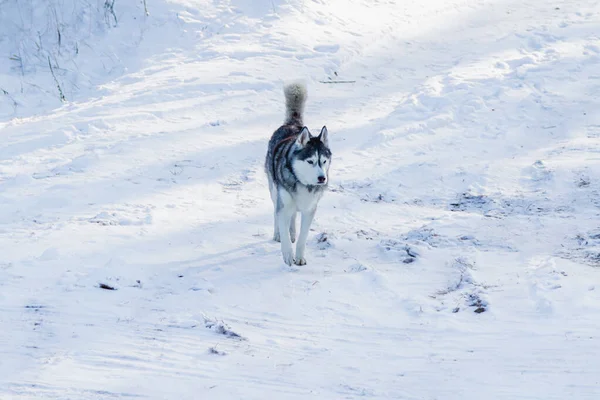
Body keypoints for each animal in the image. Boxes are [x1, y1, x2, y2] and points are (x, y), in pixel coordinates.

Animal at [266, 82, 332, 266]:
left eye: (324, 161)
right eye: (310, 161)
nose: (322, 178)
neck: (302, 182)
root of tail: (292, 125)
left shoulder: (310, 208)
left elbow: (303, 236)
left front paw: (300, 256)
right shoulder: (283, 203)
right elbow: (282, 223)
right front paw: (288, 255)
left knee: (293, 215)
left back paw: (292, 232)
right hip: (274, 191)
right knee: (276, 211)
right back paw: (278, 233)